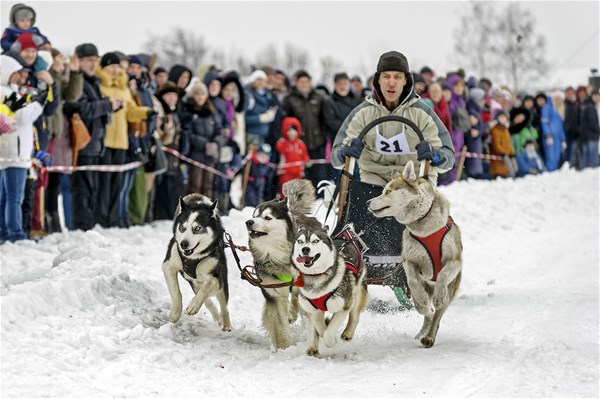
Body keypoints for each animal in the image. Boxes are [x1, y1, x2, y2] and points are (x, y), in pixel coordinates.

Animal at [162, 196, 232, 332]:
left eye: (197, 228)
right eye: (182, 228)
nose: (183, 244)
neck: (195, 257)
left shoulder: (218, 276)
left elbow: (208, 285)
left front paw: (193, 305)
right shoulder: (169, 265)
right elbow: (176, 292)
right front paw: (175, 313)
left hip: (221, 285)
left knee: (223, 306)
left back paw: (225, 324)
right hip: (194, 282)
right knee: (208, 302)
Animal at [245, 180, 316, 348]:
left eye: (267, 217)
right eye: (254, 216)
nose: (249, 222)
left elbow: (298, 299)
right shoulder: (273, 292)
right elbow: (279, 323)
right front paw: (284, 347)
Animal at [292, 223, 368, 358]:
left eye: (315, 241)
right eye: (300, 241)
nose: (305, 249)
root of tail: (346, 237)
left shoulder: (343, 306)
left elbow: (327, 332)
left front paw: (331, 341)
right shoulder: (313, 309)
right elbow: (320, 328)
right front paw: (326, 323)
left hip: (357, 292)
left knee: (354, 315)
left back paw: (348, 333)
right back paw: (313, 347)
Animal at [366, 161, 464, 348]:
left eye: (388, 191)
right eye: (383, 190)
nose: (368, 202)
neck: (424, 225)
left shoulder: (454, 261)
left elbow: (442, 274)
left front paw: (438, 295)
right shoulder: (409, 261)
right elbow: (412, 281)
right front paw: (423, 299)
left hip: (450, 290)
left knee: (437, 316)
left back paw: (429, 336)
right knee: (425, 312)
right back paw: (424, 324)